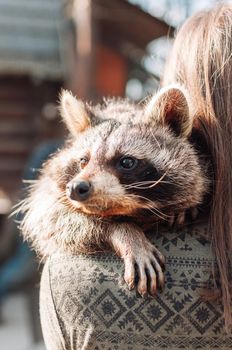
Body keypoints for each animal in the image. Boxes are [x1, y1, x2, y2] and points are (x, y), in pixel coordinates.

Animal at [19, 86, 208, 296]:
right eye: (83, 161)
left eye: (126, 162)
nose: (76, 188)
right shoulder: (49, 192)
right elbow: (49, 217)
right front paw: (126, 233)